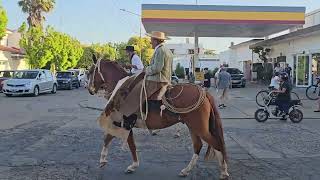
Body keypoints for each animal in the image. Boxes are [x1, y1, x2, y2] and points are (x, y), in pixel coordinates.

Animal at [86, 55, 229, 179]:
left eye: (91, 71)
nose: (89, 89)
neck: (122, 91)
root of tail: (203, 92)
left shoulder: (123, 123)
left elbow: (118, 140)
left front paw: (126, 164)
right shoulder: (125, 124)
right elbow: (115, 140)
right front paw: (108, 160)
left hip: (199, 127)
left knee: (215, 143)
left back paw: (224, 171)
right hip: (192, 126)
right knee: (198, 145)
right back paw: (186, 170)